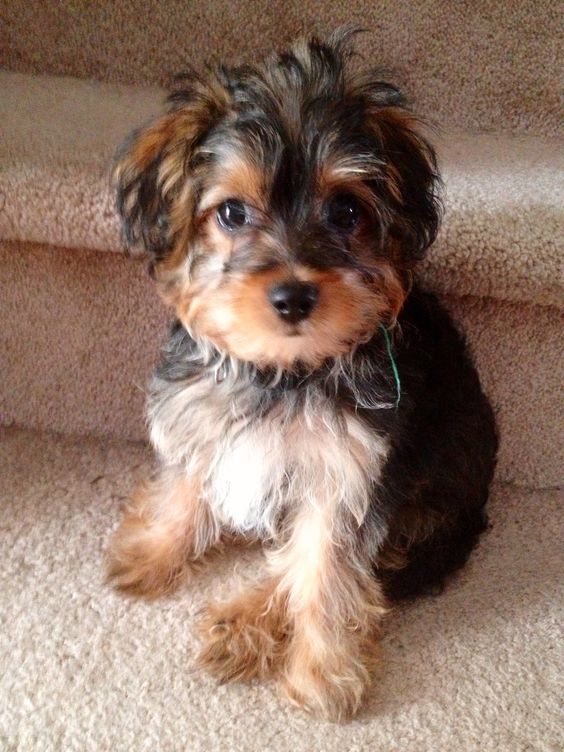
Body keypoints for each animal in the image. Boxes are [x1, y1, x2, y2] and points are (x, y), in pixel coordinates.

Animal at [108, 30, 496, 724]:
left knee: (346, 567)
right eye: (231, 213)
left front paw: (322, 676)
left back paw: (243, 624)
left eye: (345, 211)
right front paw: (150, 550)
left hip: (431, 506)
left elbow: (325, 573)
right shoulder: (203, 414)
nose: (292, 296)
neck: (283, 371)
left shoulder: (348, 474)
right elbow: (187, 487)